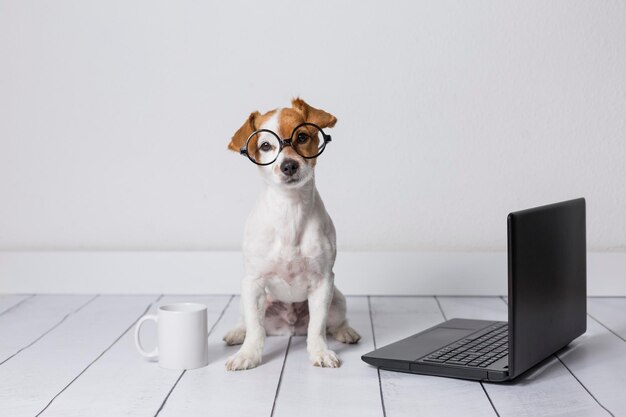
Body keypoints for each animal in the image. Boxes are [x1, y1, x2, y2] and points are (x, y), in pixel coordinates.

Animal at [223, 98, 360, 370]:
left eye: (302, 136)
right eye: (265, 145)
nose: (288, 165)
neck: (290, 211)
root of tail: (289, 328)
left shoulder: (323, 283)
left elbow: (317, 327)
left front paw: (320, 352)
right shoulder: (253, 283)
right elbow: (256, 329)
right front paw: (248, 354)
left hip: (338, 299)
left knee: (335, 321)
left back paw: (345, 331)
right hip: (249, 299)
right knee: (248, 322)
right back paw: (237, 333)